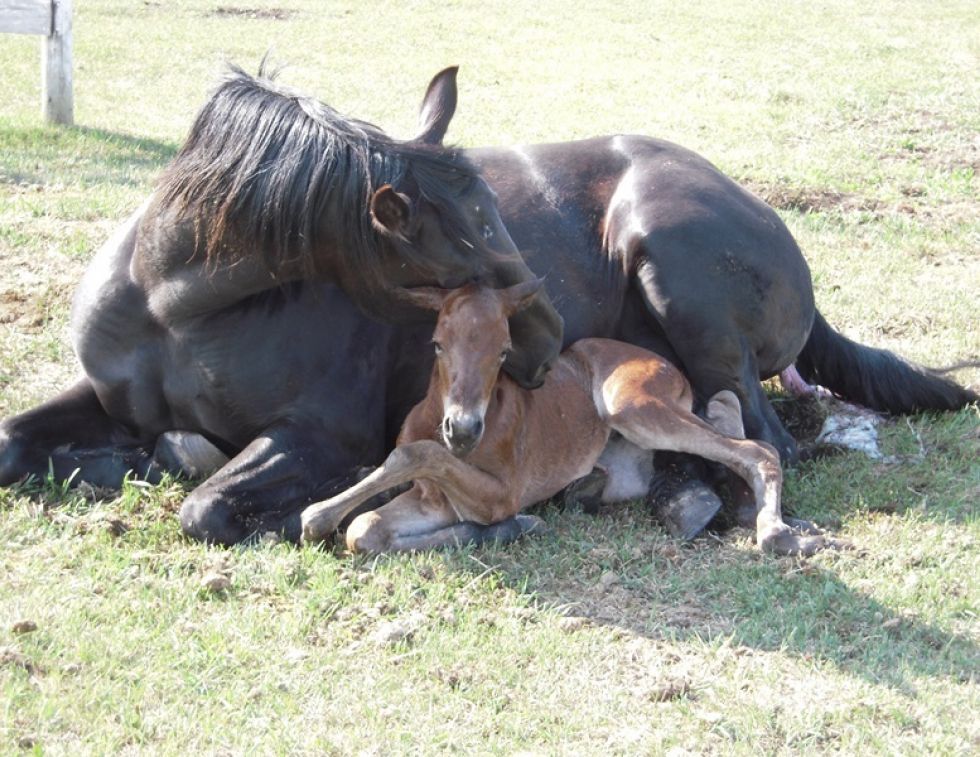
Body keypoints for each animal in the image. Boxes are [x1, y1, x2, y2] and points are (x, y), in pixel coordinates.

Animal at [300, 281, 840, 556]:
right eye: (437, 344)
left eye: (503, 352)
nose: (464, 429)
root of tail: (667, 365)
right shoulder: (437, 500)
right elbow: (365, 529)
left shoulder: (499, 490)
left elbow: (416, 454)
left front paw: (314, 515)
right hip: (632, 460)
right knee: (726, 409)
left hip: (632, 405)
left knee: (759, 448)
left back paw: (776, 532)